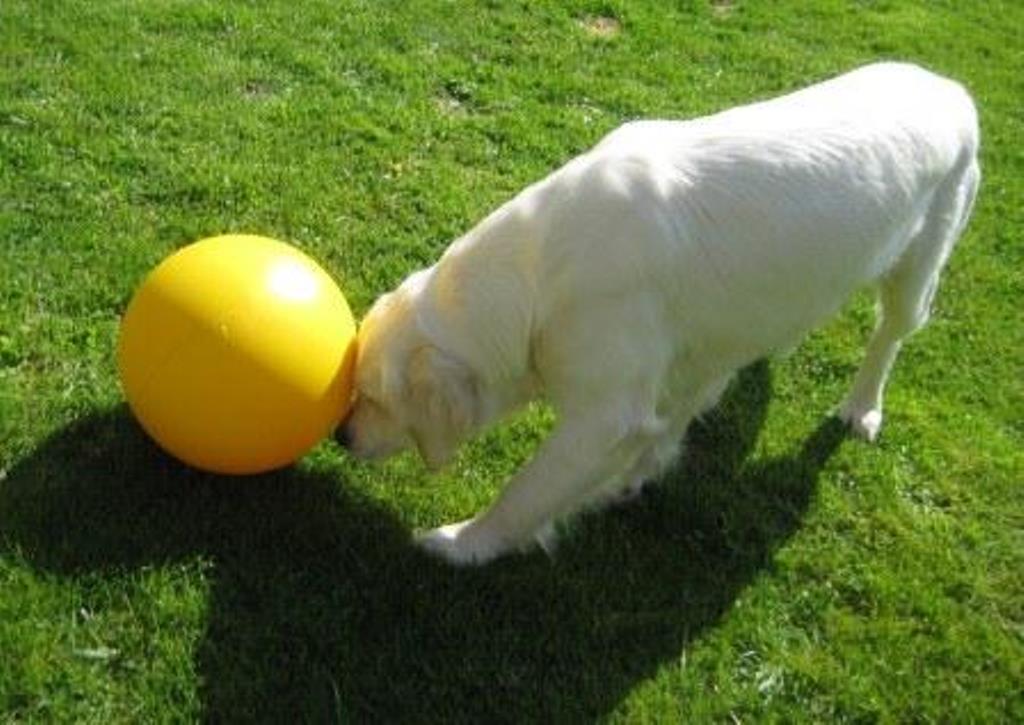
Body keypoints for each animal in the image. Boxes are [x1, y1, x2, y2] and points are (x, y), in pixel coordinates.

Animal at [335, 63, 974, 565]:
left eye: (375, 397)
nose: (341, 435)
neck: (540, 271)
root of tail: (950, 88)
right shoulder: (678, 357)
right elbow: (669, 421)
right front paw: (639, 474)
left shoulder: (604, 414)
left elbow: (526, 494)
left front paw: (462, 542)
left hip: (917, 273)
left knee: (888, 336)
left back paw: (862, 407)